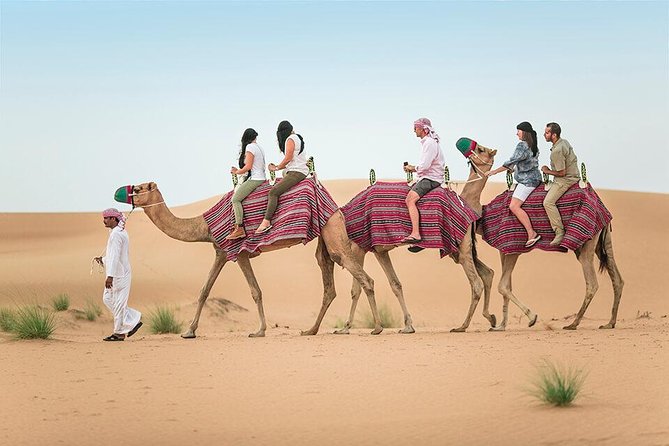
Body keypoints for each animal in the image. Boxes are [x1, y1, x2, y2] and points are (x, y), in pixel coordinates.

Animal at [125, 181, 384, 338]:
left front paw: (259, 331)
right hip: (325, 236)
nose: (126, 194)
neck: (204, 226)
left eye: (139, 188)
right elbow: (204, 290)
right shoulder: (221, 252)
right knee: (329, 282)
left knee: (365, 278)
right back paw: (310, 330)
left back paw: (377, 328)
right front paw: (189, 331)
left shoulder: (238, 252)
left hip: (332, 232)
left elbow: (255, 291)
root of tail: (336, 207)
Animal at [459, 145, 624, 330]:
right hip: (602, 237)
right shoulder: (505, 248)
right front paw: (501, 325)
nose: (467, 151)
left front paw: (531, 318)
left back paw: (573, 323)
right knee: (617, 278)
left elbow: (502, 286)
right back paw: (610, 323)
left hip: (586, 240)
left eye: (480, 149)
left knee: (592, 283)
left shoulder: (513, 246)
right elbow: (507, 285)